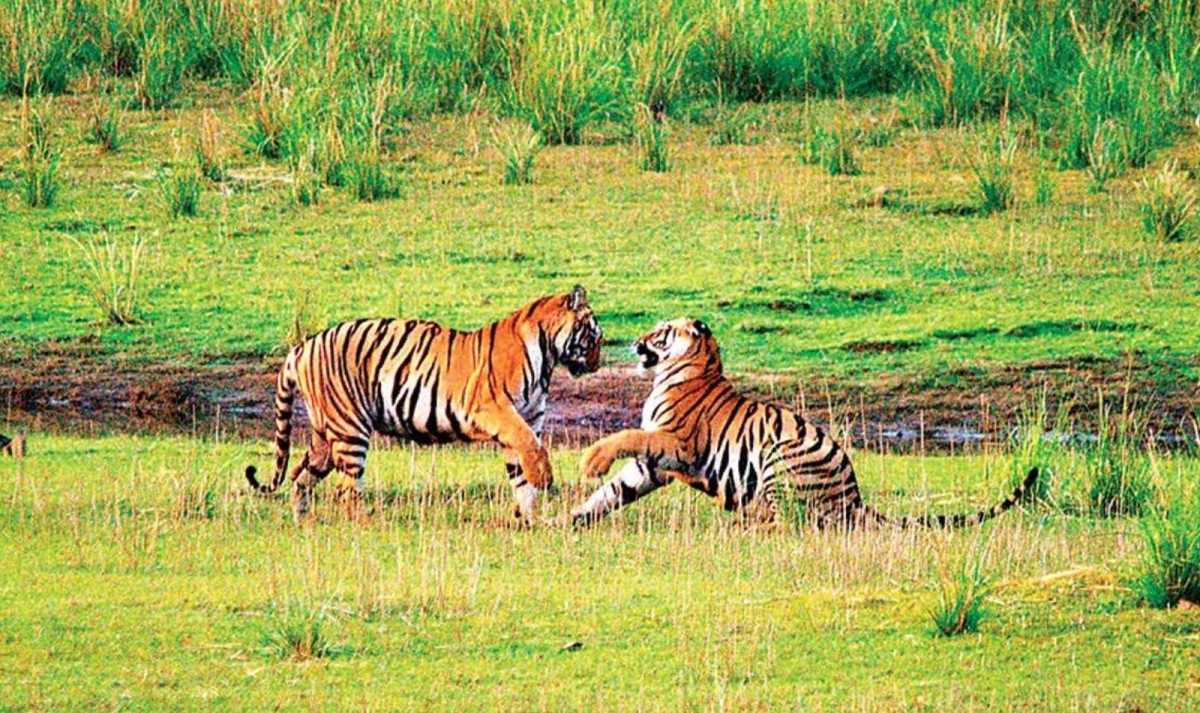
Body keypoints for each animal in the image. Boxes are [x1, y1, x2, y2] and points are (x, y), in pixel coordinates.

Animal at [245, 286, 602, 523]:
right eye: (594, 337)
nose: (597, 364)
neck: (547, 357)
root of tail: (301, 348)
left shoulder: (527, 418)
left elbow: (520, 474)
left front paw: (529, 519)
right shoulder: (497, 411)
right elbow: (532, 449)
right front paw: (544, 479)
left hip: (326, 436)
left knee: (300, 476)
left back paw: (303, 521)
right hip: (350, 430)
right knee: (345, 490)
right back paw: (366, 523)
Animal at [573, 318, 1038, 528]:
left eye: (662, 331)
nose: (636, 342)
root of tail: (855, 496)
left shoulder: (676, 443)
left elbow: (626, 436)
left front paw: (592, 461)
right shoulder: (655, 464)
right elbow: (615, 491)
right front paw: (572, 519)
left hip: (779, 455)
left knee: (789, 522)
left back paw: (746, 527)